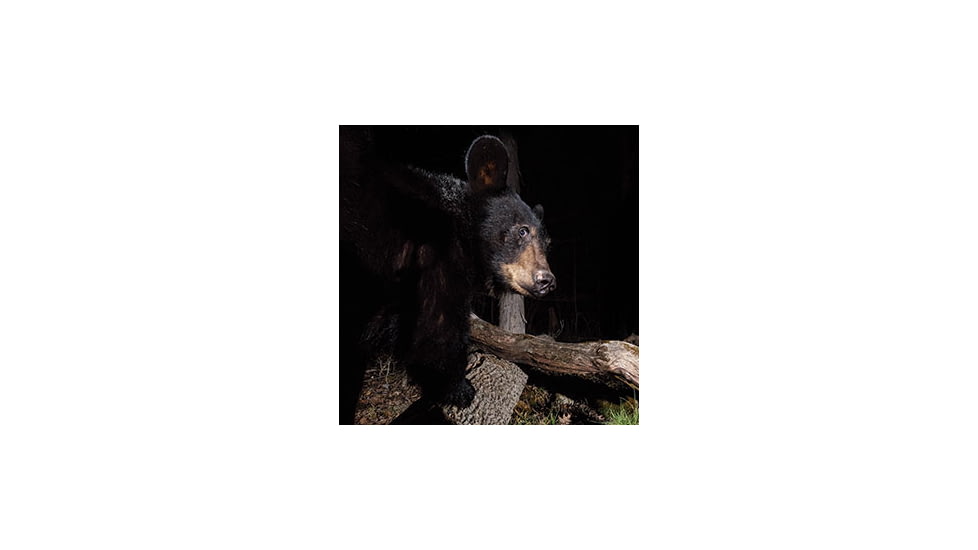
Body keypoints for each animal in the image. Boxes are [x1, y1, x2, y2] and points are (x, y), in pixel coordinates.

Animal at [339, 127, 556, 424]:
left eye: (547, 243)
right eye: (522, 230)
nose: (547, 281)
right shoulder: (434, 263)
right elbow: (436, 332)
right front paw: (461, 389)